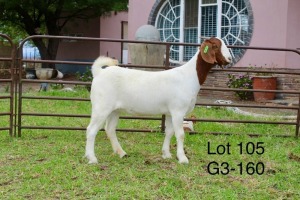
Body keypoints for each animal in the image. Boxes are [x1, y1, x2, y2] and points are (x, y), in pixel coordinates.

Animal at [84, 36, 232, 163]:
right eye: (215, 46)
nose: (229, 59)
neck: (190, 76)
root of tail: (99, 72)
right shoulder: (178, 111)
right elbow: (180, 134)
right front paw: (182, 158)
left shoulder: (170, 112)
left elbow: (169, 132)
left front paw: (166, 154)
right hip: (101, 107)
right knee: (91, 129)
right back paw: (92, 158)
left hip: (114, 110)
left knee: (110, 129)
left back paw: (121, 153)